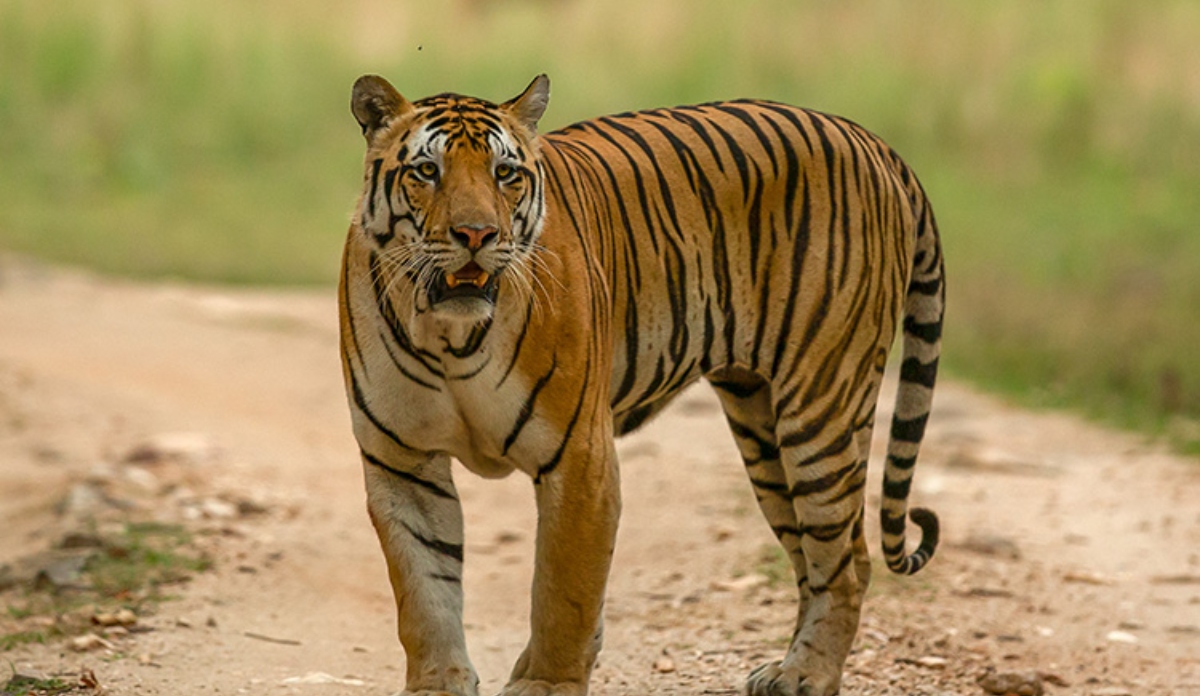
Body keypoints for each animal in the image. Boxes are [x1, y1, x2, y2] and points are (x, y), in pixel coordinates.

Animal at [339, 73, 944, 696]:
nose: (476, 234)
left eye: (505, 173)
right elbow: (424, 591)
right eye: (426, 170)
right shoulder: (403, 462)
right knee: (813, 555)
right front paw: (438, 683)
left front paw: (547, 683)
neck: (448, 335)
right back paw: (786, 666)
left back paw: (806, 675)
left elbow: (563, 590)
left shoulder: (579, 457)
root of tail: (871, 140)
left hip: (821, 406)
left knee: (847, 561)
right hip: (763, 426)